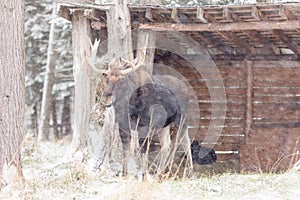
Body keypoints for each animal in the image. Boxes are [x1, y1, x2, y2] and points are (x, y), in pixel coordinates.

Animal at [88, 38, 193, 178]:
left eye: (121, 79)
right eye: (107, 78)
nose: (106, 99)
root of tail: (186, 87)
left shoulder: (144, 126)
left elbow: (141, 151)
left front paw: (143, 175)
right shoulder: (123, 128)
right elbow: (126, 151)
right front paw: (125, 174)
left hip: (182, 119)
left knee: (185, 142)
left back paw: (188, 172)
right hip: (163, 125)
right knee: (167, 145)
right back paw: (160, 173)